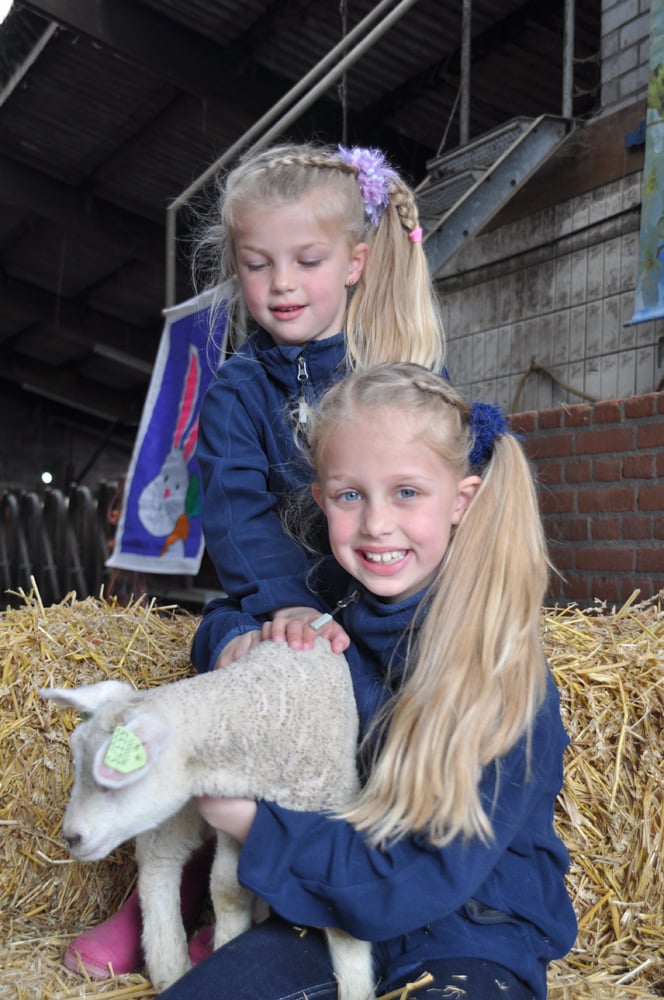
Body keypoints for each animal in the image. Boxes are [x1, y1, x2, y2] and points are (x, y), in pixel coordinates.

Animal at [40, 637, 375, 999]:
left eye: (112, 777)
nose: (71, 837)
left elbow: (343, 923)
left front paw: (357, 989)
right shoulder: (237, 823)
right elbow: (228, 890)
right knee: (159, 865)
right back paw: (170, 966)